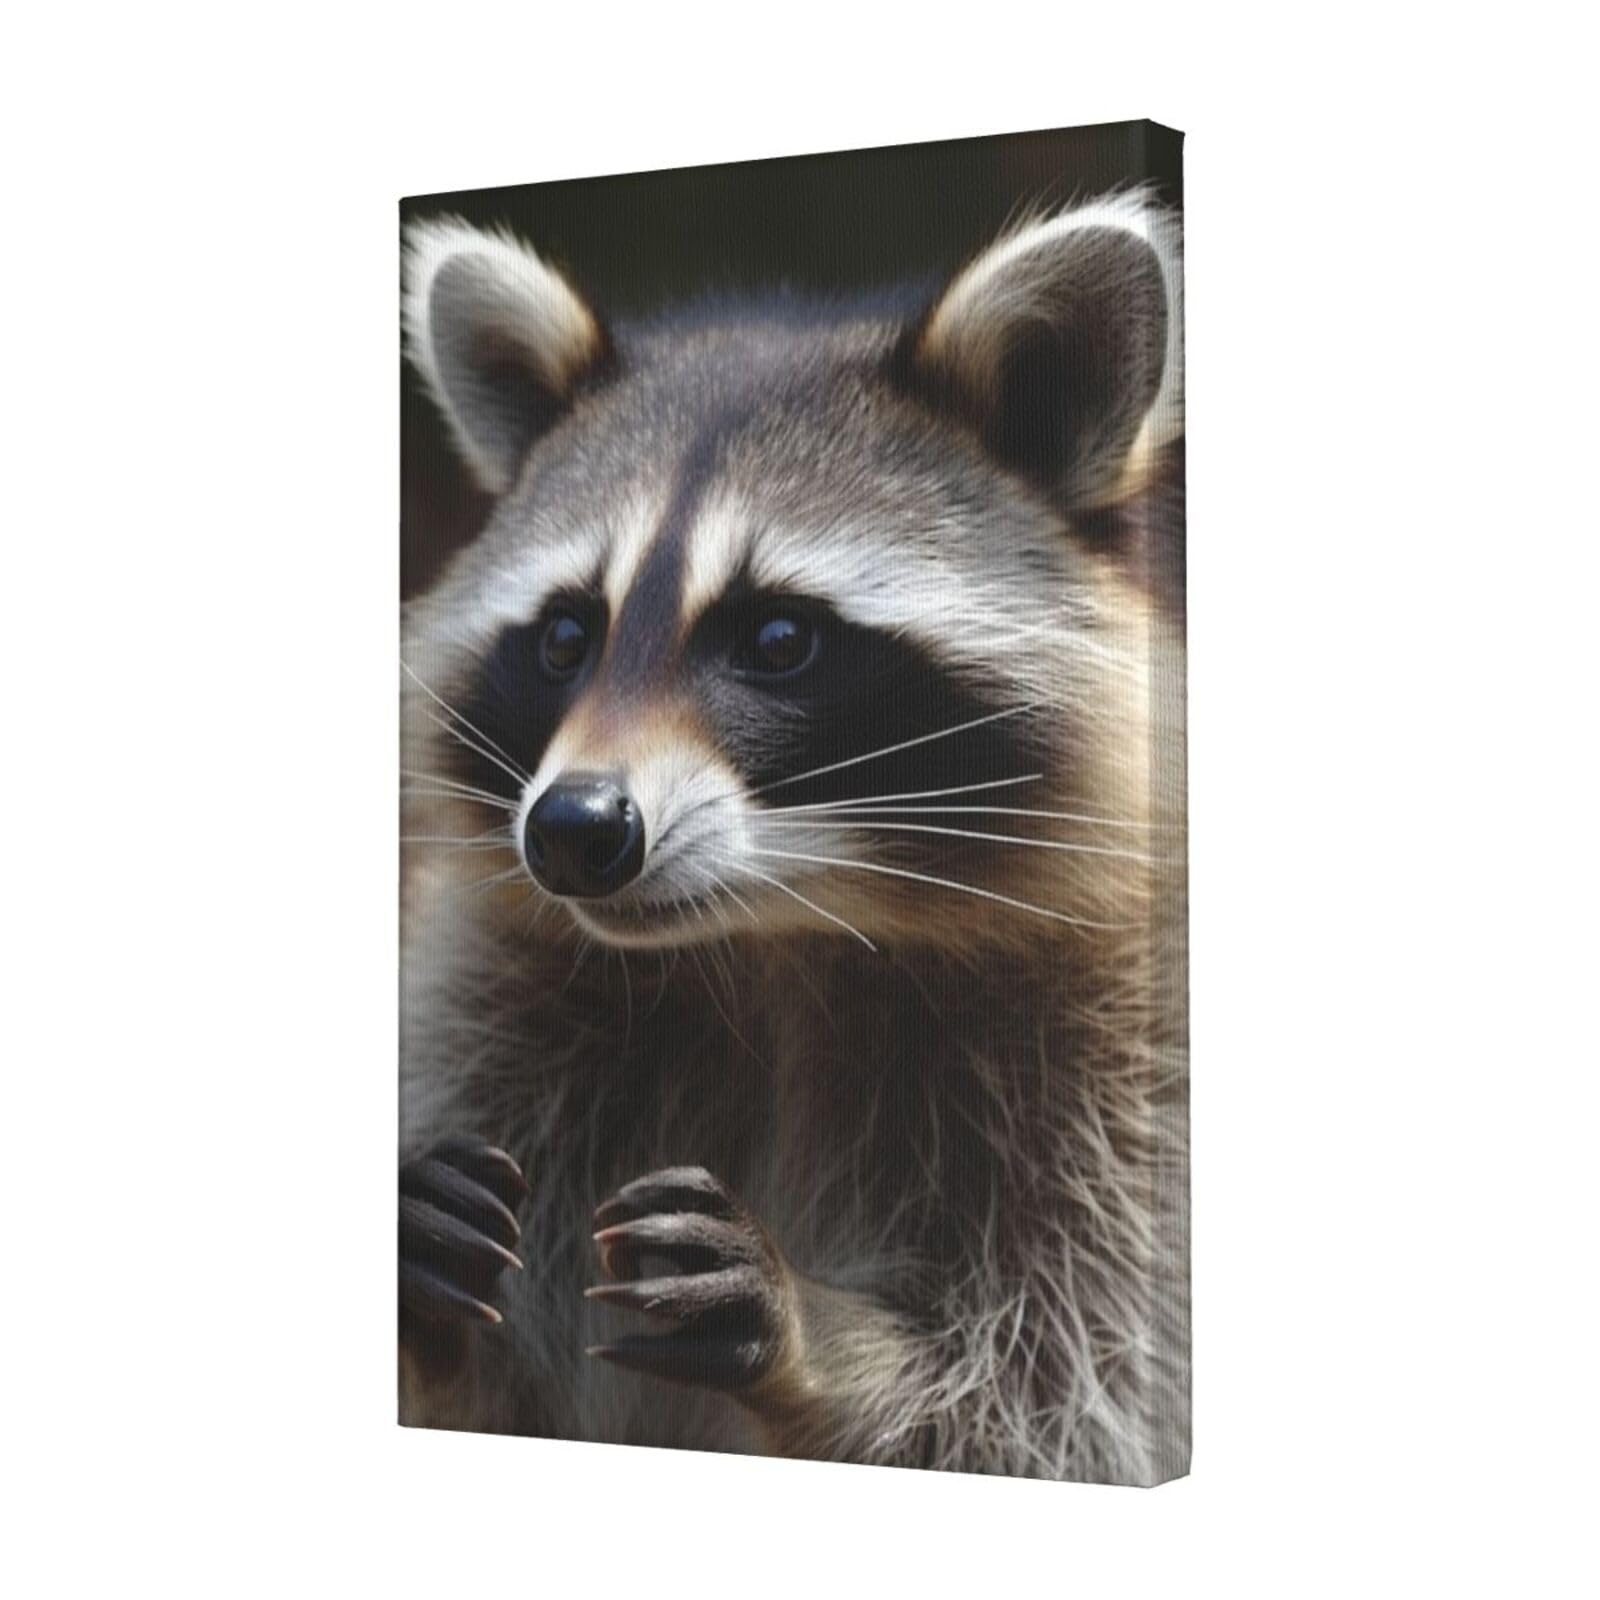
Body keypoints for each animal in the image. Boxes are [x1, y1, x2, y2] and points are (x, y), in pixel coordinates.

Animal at [398, 191, 1188, 1484]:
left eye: (776, 638)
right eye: (565, 635)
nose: (573, 830)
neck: (772, 934)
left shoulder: (1128, 1060)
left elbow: (1062, 1397)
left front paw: (821, 1343)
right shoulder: (493, 994)